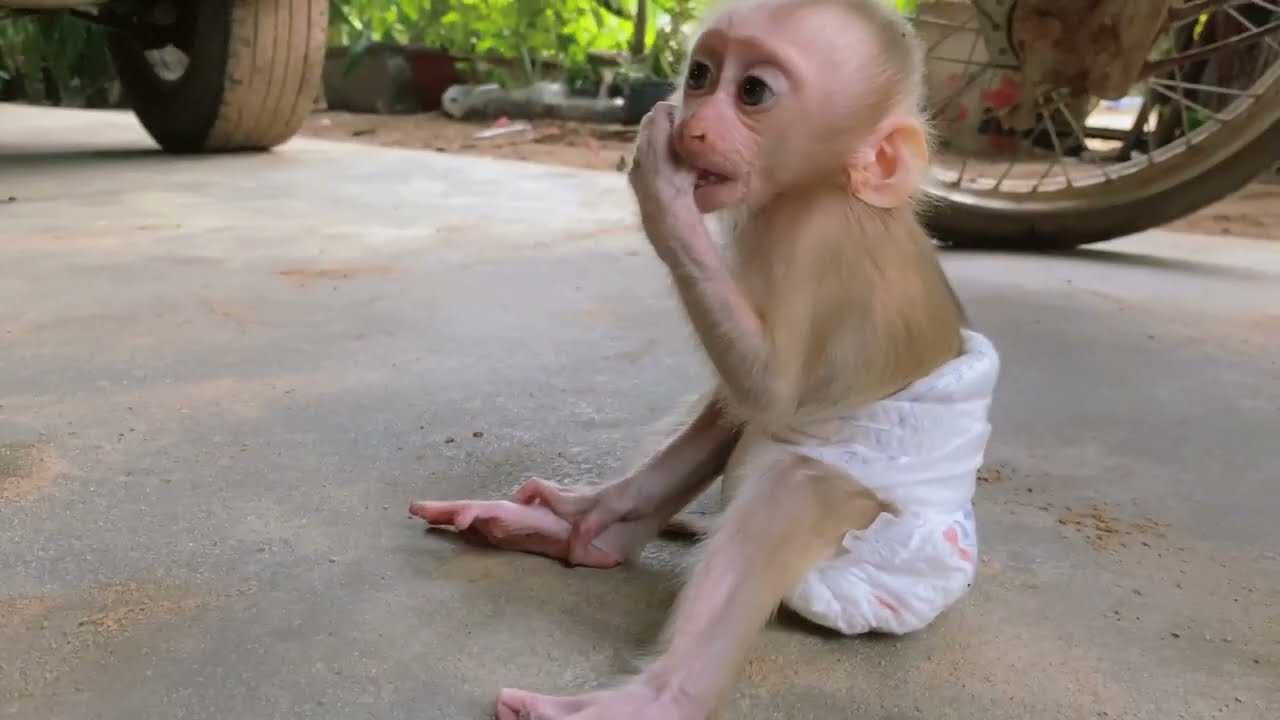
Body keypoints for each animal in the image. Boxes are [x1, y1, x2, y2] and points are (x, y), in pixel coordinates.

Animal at [408, 0, 1001, 717]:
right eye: (701, 75)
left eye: (753, 92)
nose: (692, 124)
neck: (823, 186)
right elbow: (736, 405)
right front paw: (587, 510)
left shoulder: (810, 235)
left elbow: (770, 393)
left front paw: (662, 193)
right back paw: (588, 534)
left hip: (893, 541)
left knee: (792, 484)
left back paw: (659, 698)